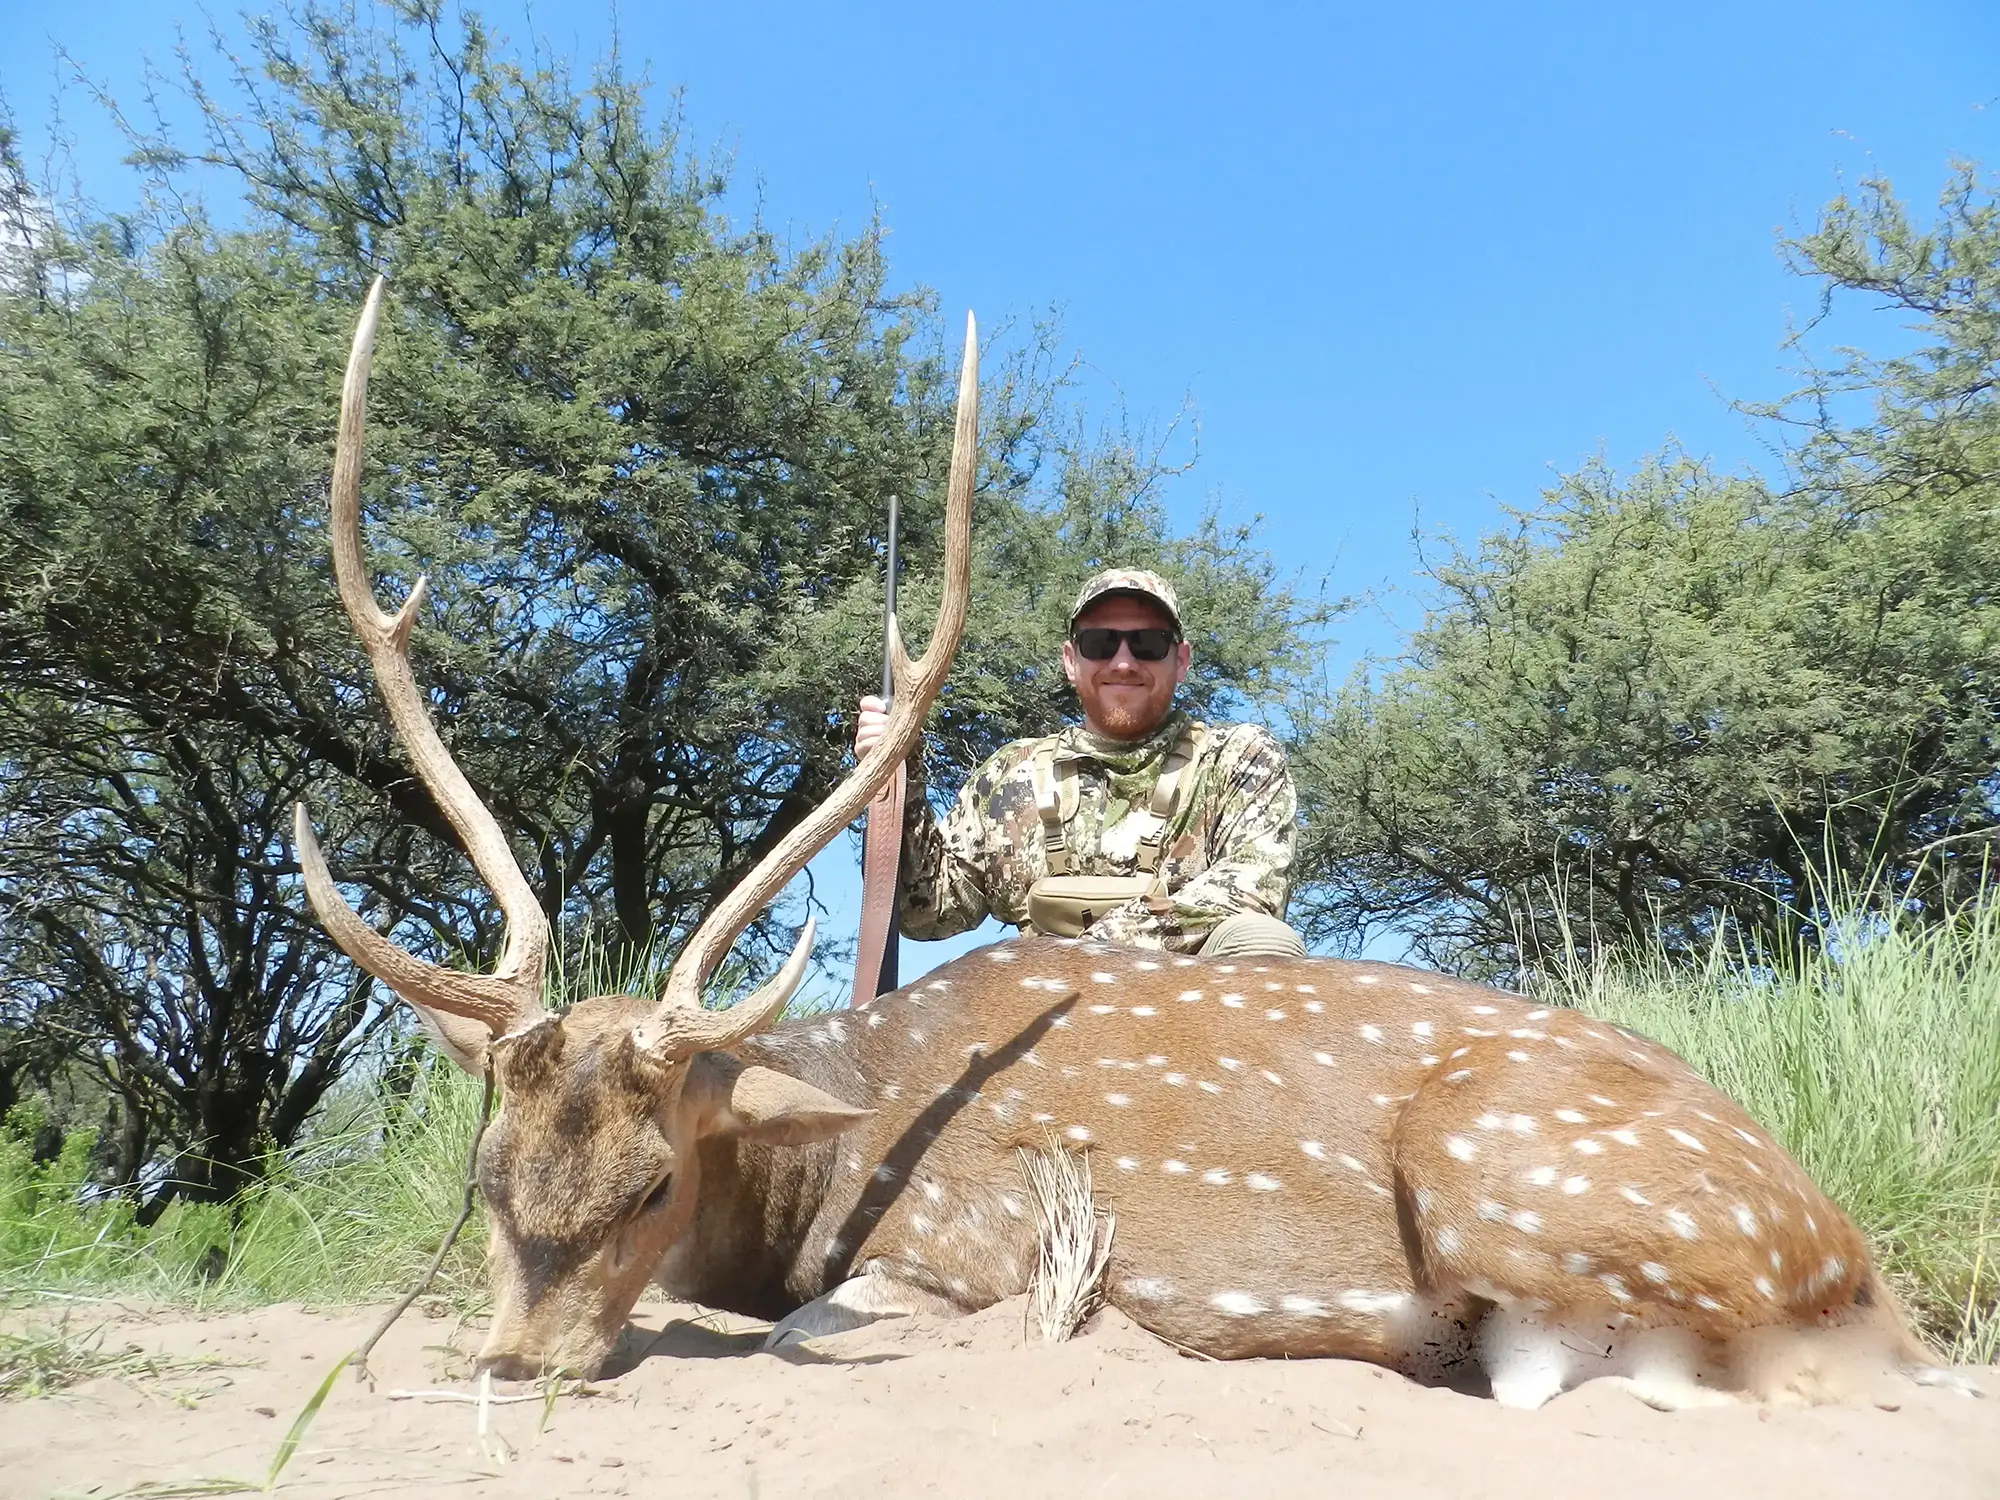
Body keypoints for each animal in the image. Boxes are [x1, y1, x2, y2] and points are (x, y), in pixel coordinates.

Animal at [296, 281, 1980, 1410]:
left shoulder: (965, 1250)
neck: (839, 1131)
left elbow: (804, 1328)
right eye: (485, 1174)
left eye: (654, 1188)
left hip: (1520, 1180)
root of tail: (1864, 1269)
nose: (514, 1366)